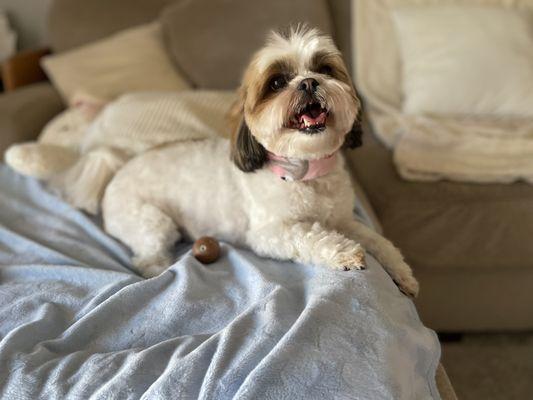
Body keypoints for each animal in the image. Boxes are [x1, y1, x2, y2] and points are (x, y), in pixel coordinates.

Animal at [100, 25, 418, 294]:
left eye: (324, 69)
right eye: (277, 82)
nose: (308, 82)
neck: (306, 170)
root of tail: (116, 171)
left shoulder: (342, 219)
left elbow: (377, 240)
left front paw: (402, 272)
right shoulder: (269, 233)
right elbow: (309, 235)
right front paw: (345, 252)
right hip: (150, 222)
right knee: (147, 256)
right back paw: (159, 268)